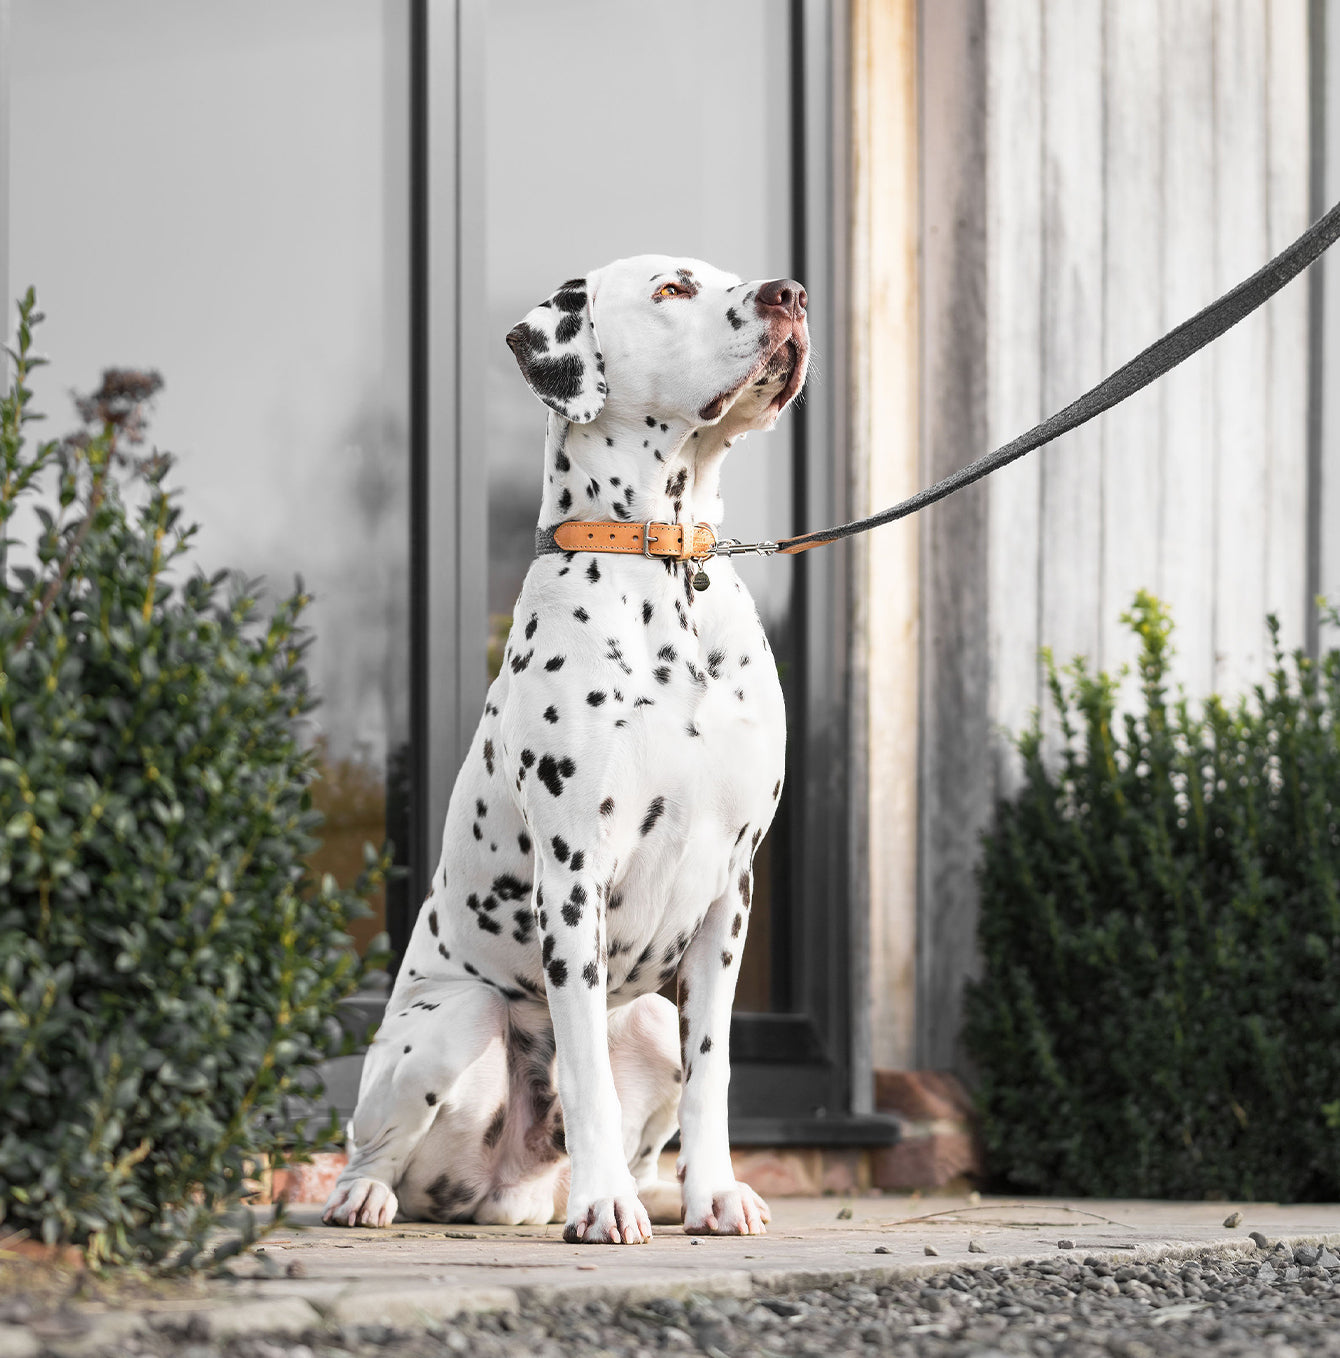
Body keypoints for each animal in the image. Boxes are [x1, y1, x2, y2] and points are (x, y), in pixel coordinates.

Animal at [321, 252, 809, 1243]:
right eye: (672, 290)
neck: (665, 564)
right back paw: (371, 1194)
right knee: (375, 1144)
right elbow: (583, 1068)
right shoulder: (574, 878)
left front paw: (713, 1195)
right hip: (455, 1018)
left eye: (733, 275)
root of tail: (506, 1192)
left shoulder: (729, 896)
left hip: (650, 1018)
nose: (791, 296)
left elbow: (714, 1075)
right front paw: (606, 1206)